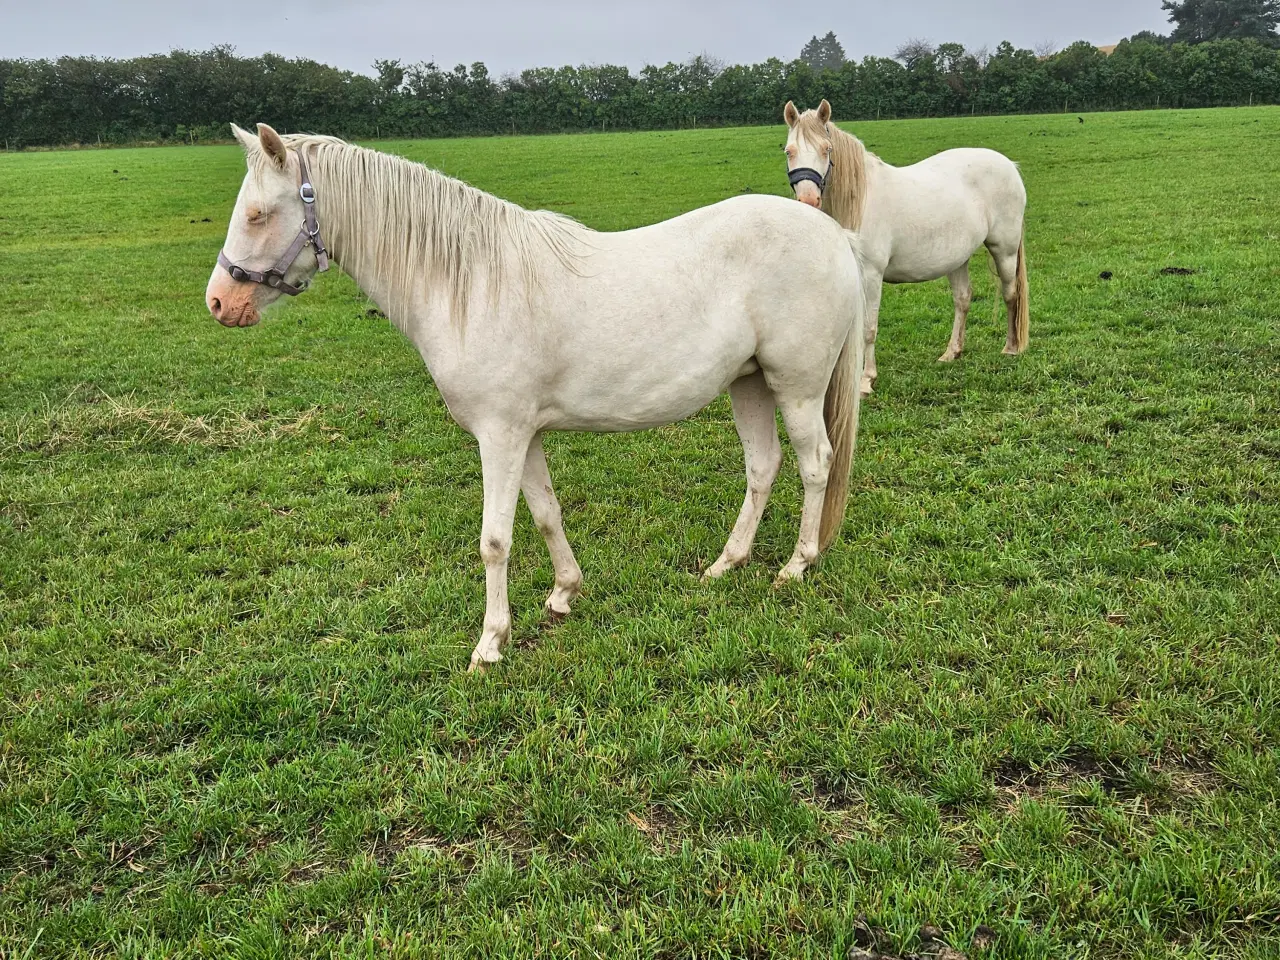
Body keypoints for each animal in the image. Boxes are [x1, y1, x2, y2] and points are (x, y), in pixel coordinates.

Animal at [207, 124, 870, 670]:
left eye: (259, 214)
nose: (219, 302)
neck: (472, 283)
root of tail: (832, 234)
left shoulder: (499, 436)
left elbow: (495, 541)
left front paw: (490, 644)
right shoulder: (522, 436)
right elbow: (547, 513)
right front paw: (563, 594)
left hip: (797, 387)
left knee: (815, 465)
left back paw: (796, 565)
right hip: (749, 383)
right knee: (763, 467)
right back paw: (726, 565)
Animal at [778, 100, 1029, 394]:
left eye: (826, 149)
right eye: (789, 151)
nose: (809, 200)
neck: (859, 200)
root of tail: (1009, 165)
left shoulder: (871, 275)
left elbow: (869, 328)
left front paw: (866, 380)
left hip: (1005, 249)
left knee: (1011, 294)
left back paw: (1011, 348)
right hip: (958, 258)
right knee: (963, 299)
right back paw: (951, 352)